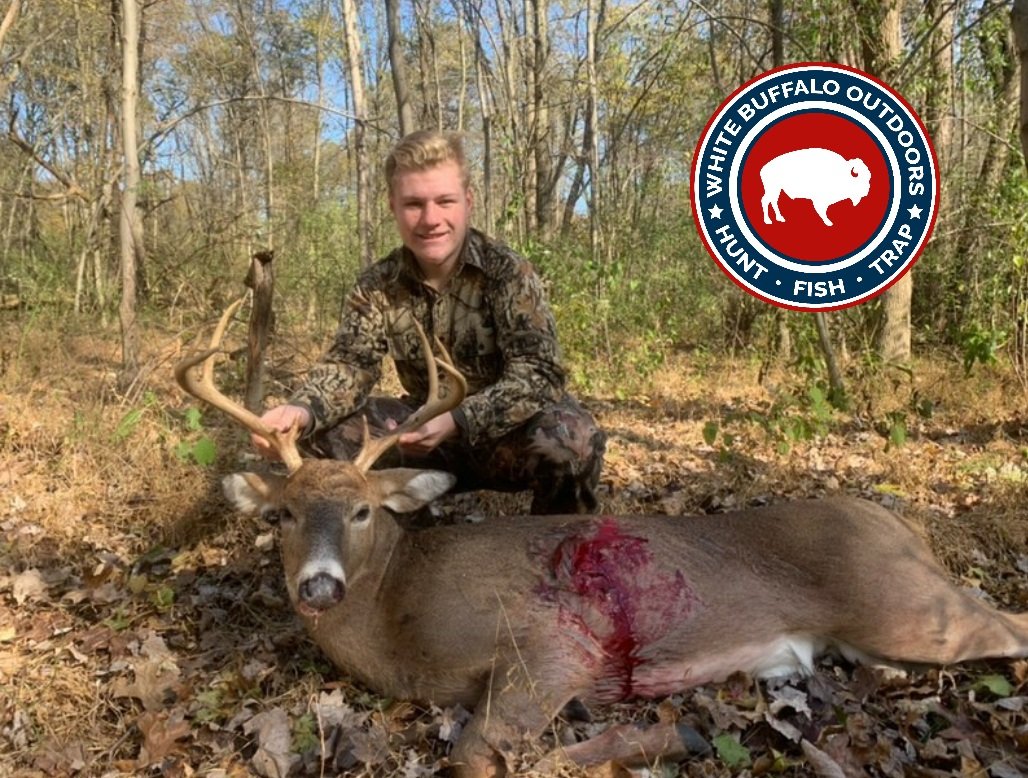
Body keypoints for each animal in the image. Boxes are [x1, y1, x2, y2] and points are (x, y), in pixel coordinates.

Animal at [176, 302, 1028, 778]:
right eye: (281, 515)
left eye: (361, 512)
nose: (319, 586)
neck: (398, 612)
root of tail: (900, 521)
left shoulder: (552, 640)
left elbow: (480, 758)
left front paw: (658, 738)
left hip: (904, 604)